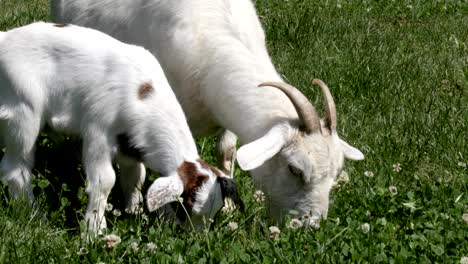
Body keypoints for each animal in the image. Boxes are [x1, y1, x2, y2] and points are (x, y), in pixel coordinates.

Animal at [0, 22, 241, 233]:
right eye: (186, 206)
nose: (195, 236)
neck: (142, 96)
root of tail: (5, 38)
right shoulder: (98, 133)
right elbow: (105, 180)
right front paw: (94, 231)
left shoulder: (131, 145)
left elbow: (135, 177)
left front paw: (133, 212)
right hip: (23, 114)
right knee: (15, 169)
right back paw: (34, 215)